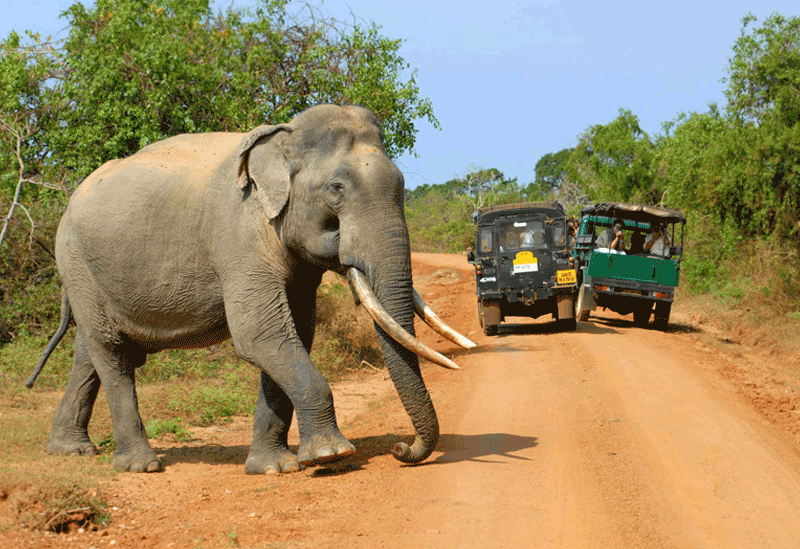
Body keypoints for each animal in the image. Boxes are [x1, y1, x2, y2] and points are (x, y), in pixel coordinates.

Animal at [28, 105, 476, 474]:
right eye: (336, 189)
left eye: (402, 185)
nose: (402, 449)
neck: (282, 140)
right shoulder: (238, 234)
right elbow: (261, 335)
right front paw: (331, 455)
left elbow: (294, 334)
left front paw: (274, 468)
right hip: (75, 257)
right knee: (112, 352)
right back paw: (142, 466)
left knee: (90, 350)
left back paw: (70, 450)